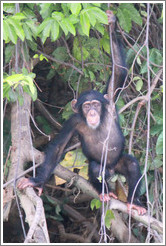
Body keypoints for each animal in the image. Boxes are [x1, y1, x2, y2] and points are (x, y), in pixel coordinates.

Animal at [17, 11, 147, 215]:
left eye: (95, 104)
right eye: (86, 106)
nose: (92, 112)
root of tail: (112, 170)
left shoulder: (110, 101)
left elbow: (119, 71)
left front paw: (111, 24)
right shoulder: (73, 121)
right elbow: (59, 147)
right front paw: (37, 182)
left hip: (117, 162)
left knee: (132, 165)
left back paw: (134, 201)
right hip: (103, 170)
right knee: (95, 169)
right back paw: (105, 193)